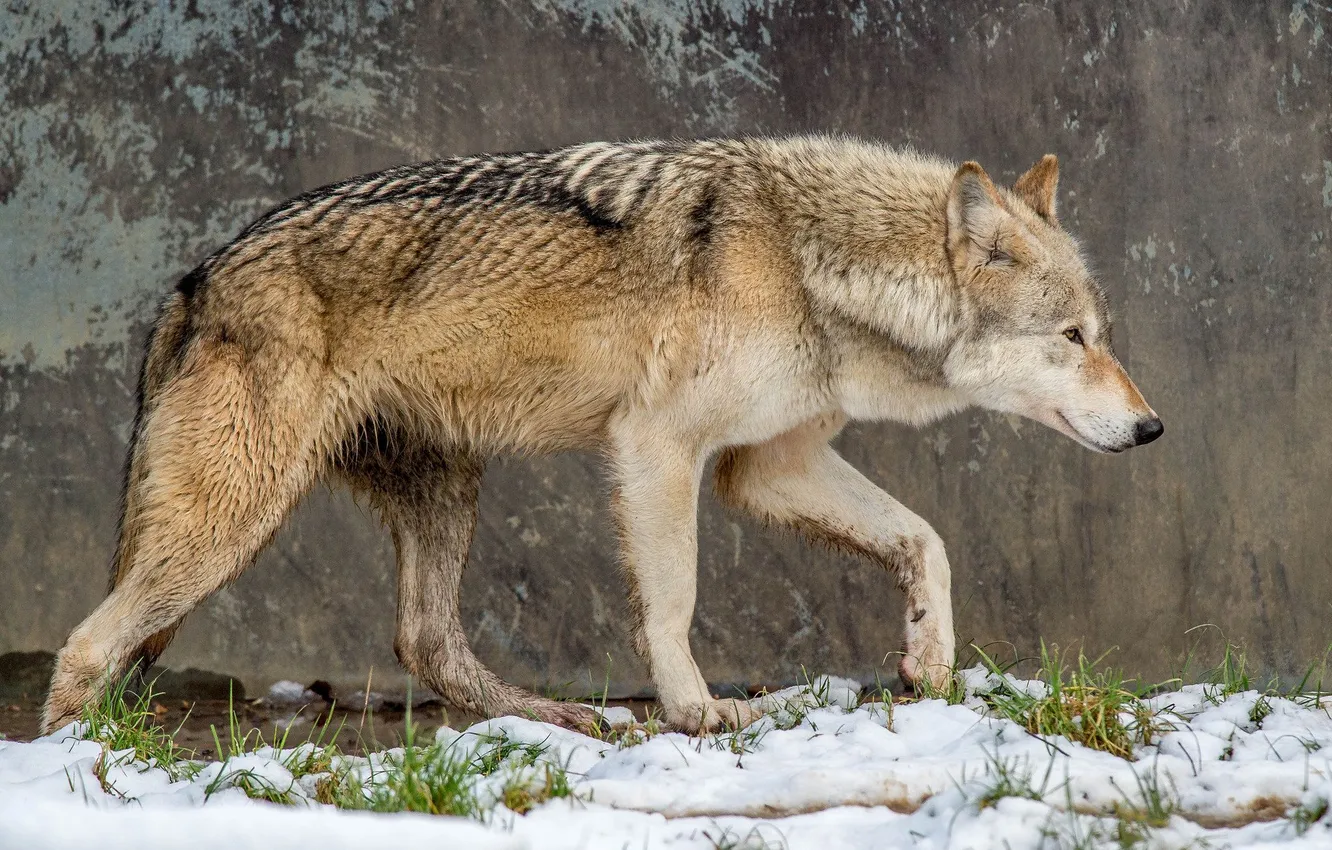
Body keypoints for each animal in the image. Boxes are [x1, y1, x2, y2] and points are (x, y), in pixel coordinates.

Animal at [41, 136, 1162, 735]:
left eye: (1103, 335)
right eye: (1074, 338)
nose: (1152, 427)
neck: (809, 260)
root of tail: (193, 282)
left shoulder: (768, 464)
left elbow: (925, 539)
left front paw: (928, 660)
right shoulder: (659, 449)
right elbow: (673, 604)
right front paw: (700, 713)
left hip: (443, 494)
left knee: (426, 641)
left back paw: (560, 720)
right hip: (234, 522)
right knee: (87, 642)